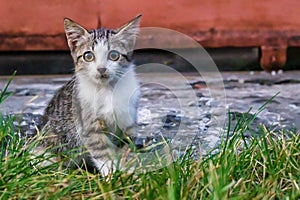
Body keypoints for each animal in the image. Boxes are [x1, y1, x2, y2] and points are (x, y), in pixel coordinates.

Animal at [40, 14, 142, 176]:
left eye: (113, 55)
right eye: (88, 56)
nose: (101, 69)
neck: (107, 90)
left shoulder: (127, 121)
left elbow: (126, 149)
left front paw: (129, 173)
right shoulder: (88, 126)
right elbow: (102, 152)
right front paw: (112, 176)